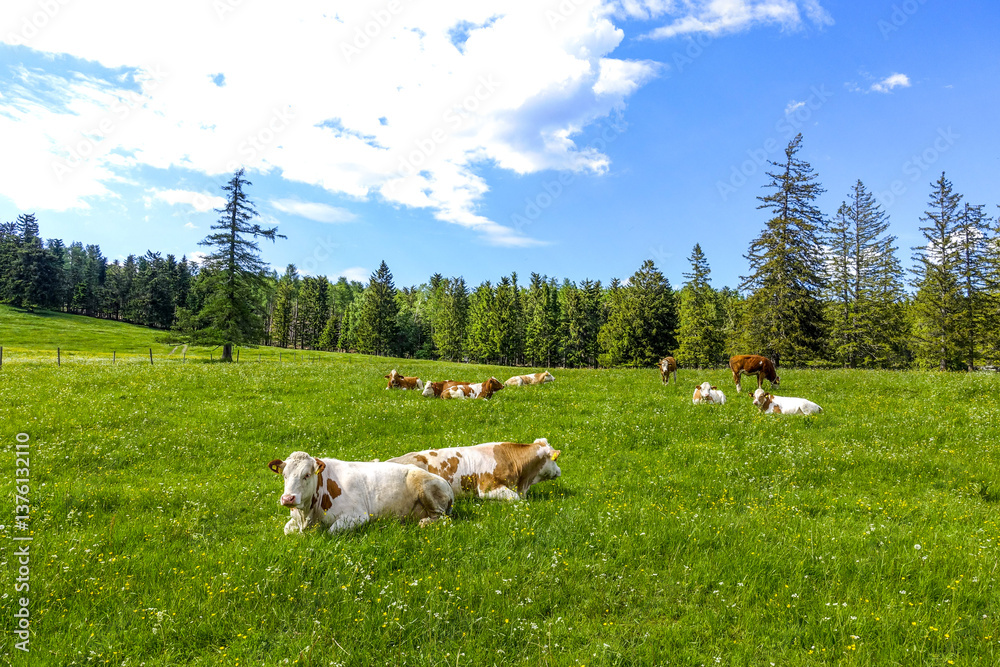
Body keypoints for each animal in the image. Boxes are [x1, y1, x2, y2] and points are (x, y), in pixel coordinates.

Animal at [267, 451, 454, 534]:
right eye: (284, 475)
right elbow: (286, 530)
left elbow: (330, 531)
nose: (288, 498)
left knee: (442, 518)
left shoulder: (358, 516)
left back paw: (424, 522)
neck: (308, 516)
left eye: (306, 475)